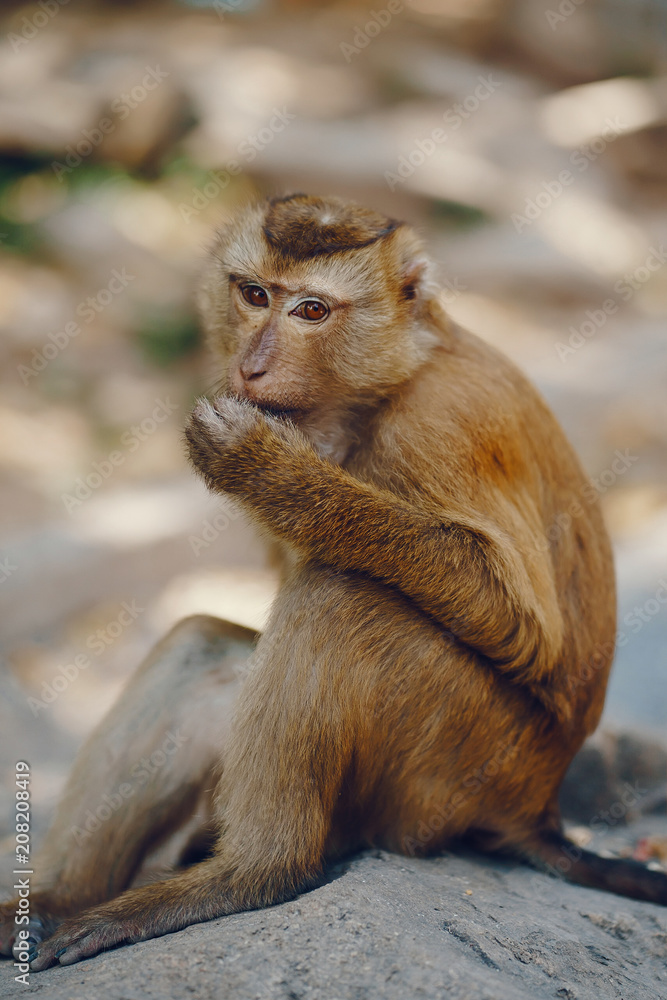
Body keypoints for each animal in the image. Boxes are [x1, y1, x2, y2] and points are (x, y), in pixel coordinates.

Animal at [2, 193, 665, 972]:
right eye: (254, 295)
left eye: (312, 311)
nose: (252, 367)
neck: (388, 381)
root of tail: (538, 807)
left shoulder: (446, 426)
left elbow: (522, 623)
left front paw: (269, 470)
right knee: (205, 645)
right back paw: (57, 900)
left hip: (455, 768)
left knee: (337, 599)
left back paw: (251, 874)